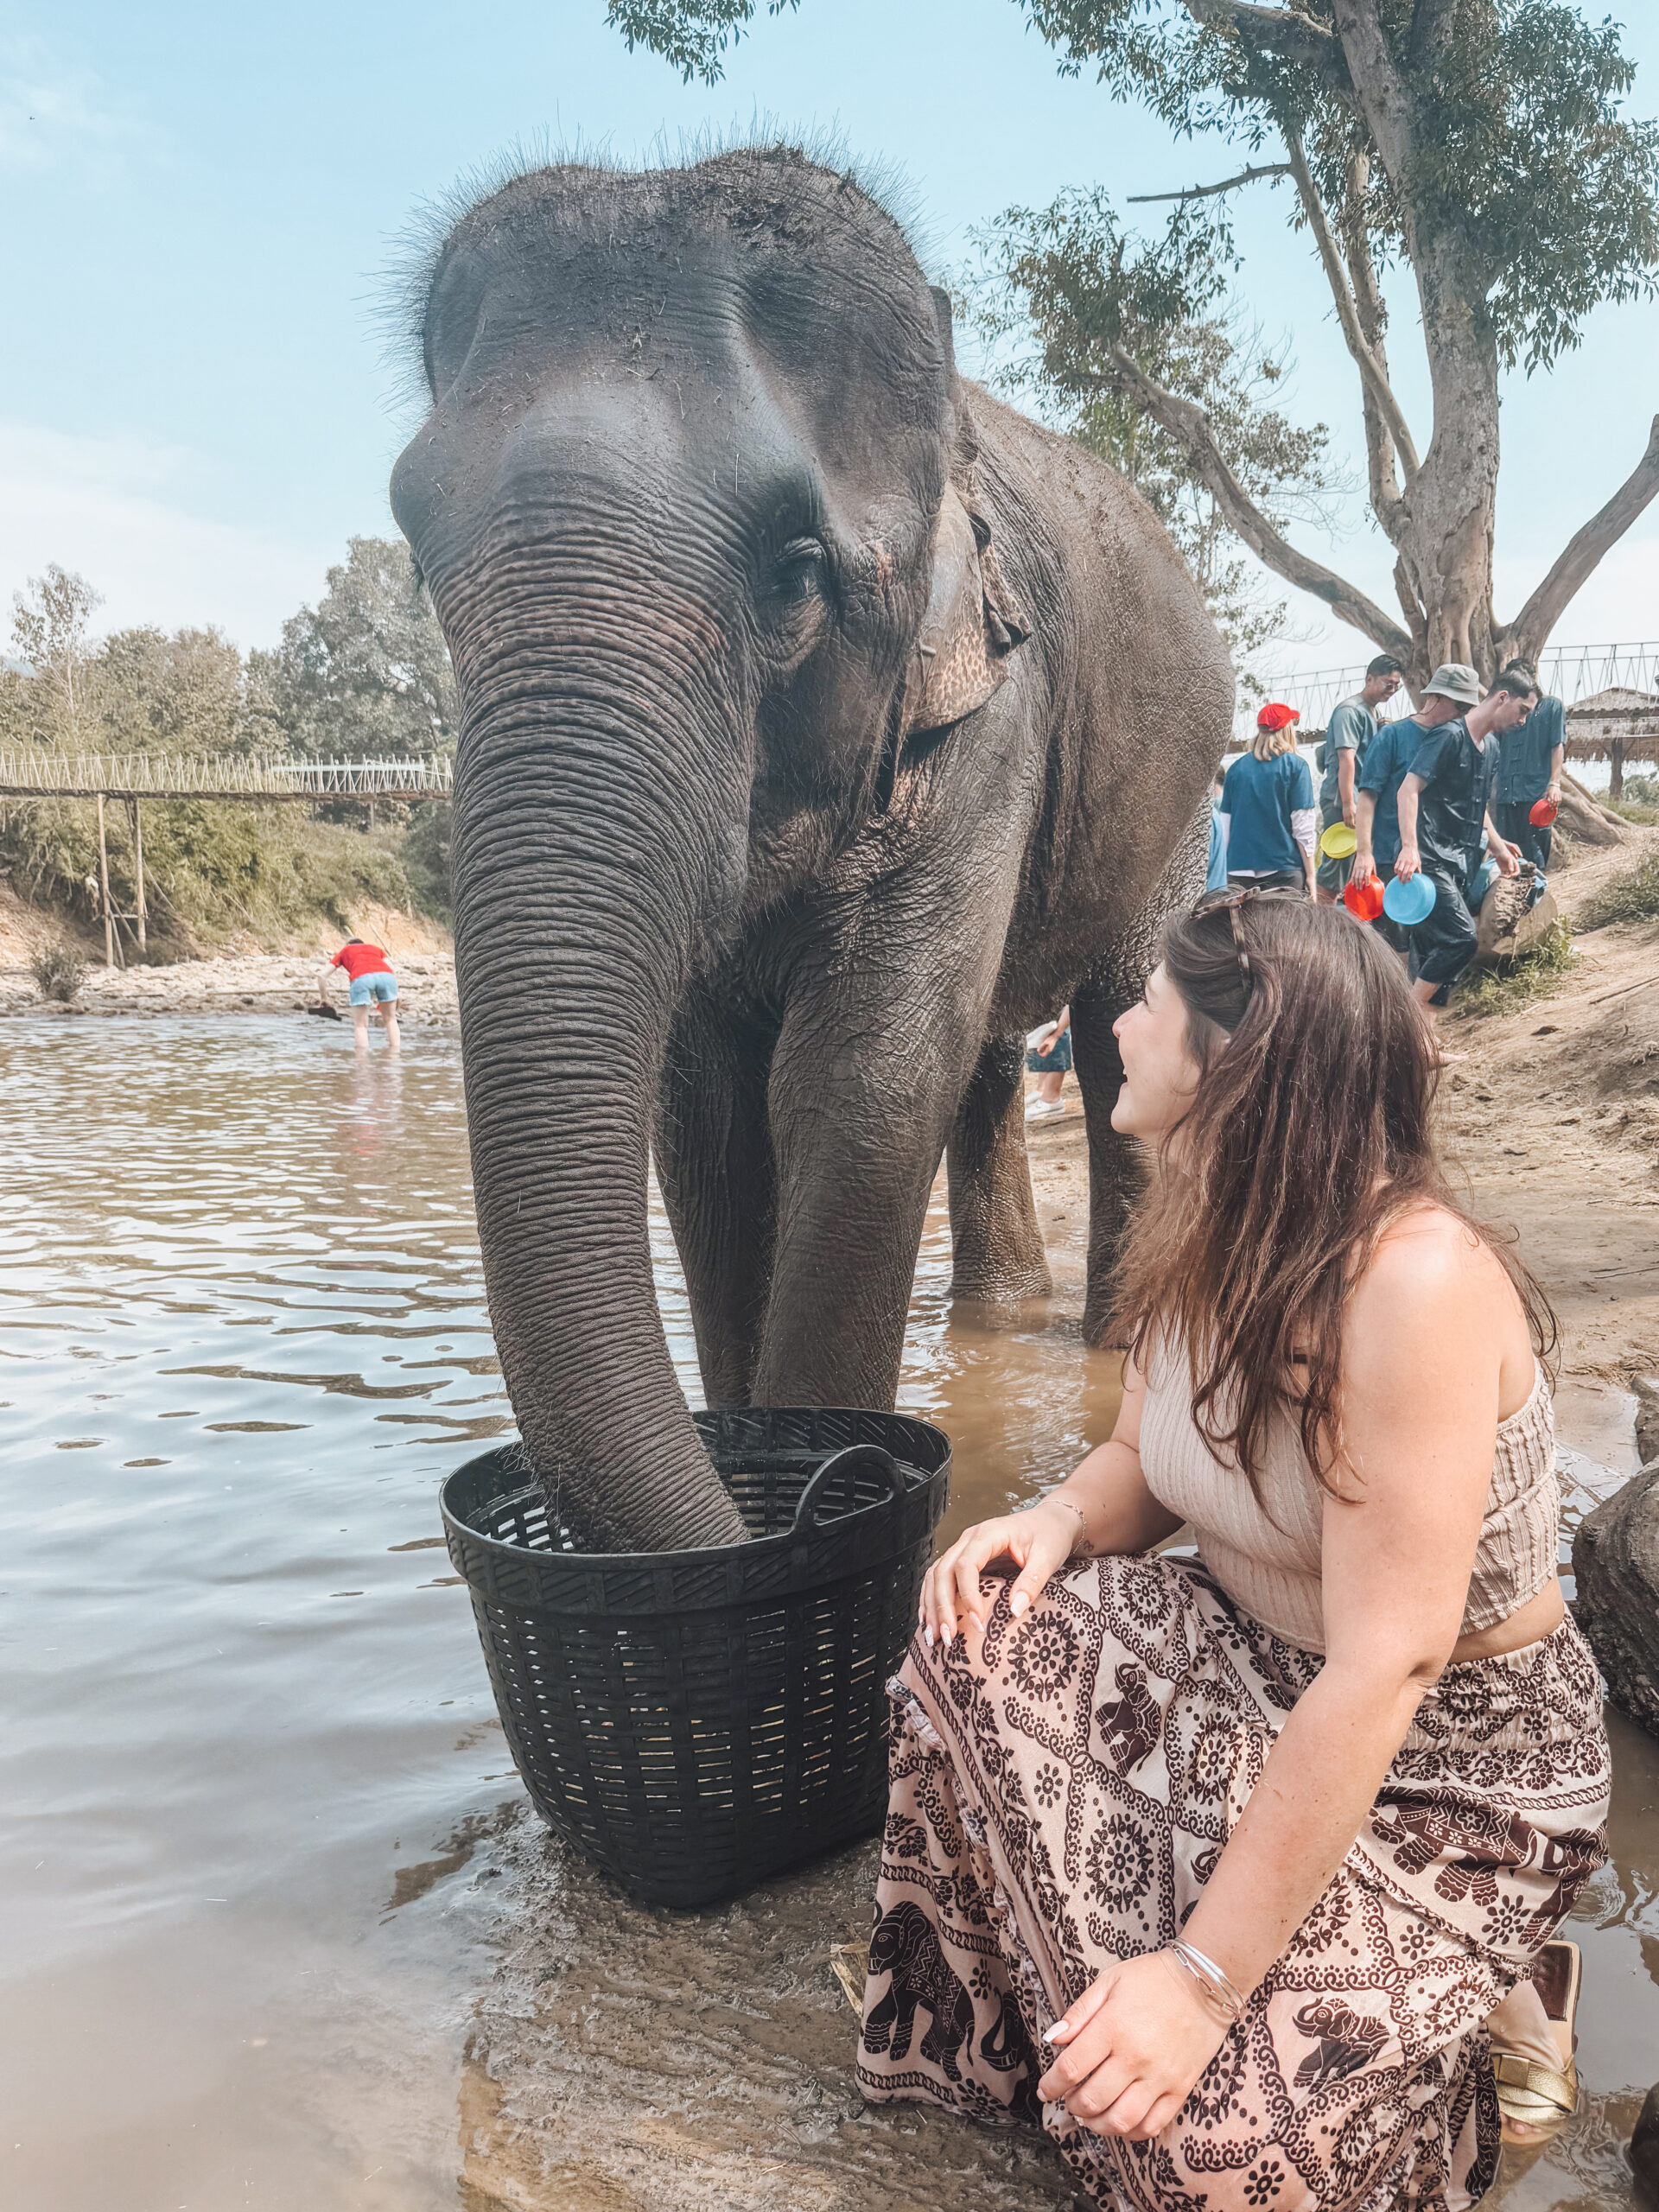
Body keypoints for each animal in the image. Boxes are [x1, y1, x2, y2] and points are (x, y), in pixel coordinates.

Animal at [390, 145, 1233, 1554]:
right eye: (416, 555)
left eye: (793, 573)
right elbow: (707, 1112)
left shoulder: (996, 711)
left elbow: (862, 1080)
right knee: (988, 1054)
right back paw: (994, 1321)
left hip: (1182, 795)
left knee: (1118, 1039)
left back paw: (1111, 1348)